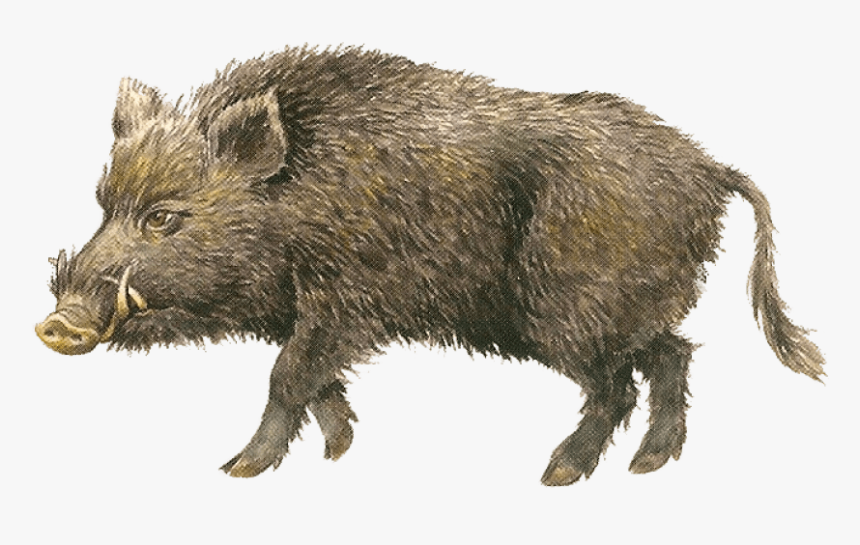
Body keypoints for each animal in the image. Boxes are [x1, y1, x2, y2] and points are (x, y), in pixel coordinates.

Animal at [35, 46, 824, 485]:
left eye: (164, 217)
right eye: (104, 205)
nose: (54, 325)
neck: (296, 204)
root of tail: (710, 168)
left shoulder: (346, 302)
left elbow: (287, 375)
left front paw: (238, 470)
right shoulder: (307, 313)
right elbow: (315, 382)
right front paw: (339, 453)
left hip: (569, 313)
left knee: (618, 383)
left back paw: (558, 474)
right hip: (617, 314)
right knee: (673, 354)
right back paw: (647, 466)